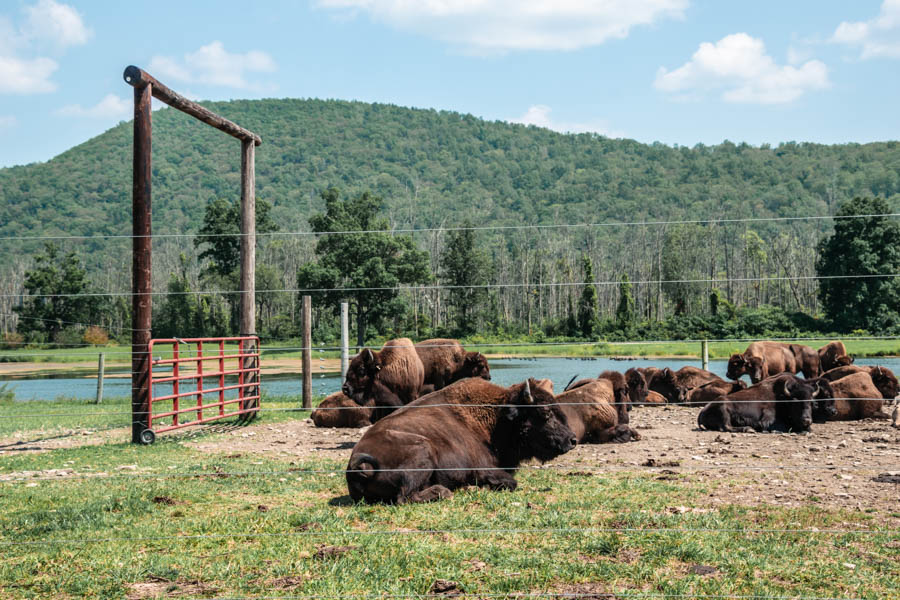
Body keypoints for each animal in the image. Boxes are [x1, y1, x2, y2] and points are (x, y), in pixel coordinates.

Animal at [344, 378, 576, 504]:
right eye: (545, 413)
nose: (572, 440)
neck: (497, 418)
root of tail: (356, 465)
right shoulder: (483, 469)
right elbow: (510, 482)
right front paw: (477, 487)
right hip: (423, 449)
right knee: (405, 496)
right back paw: (446, 491)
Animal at [696, 372, 836, 434]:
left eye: (812, 403)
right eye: (795, 402)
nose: (806, 420)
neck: (783, 399)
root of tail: (703, 410)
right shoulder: (767, 420)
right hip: (724, 409)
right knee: (726, 427)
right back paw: (749, 429)